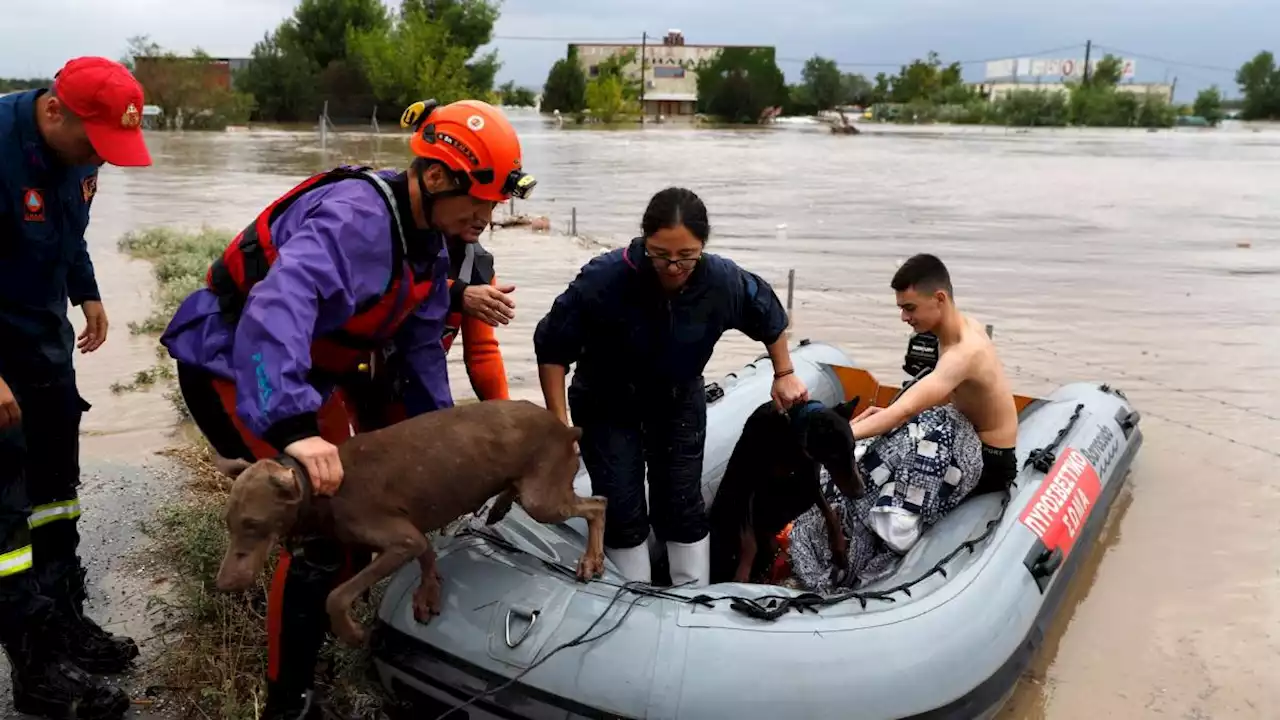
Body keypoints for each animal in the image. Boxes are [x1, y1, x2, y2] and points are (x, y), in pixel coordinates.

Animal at [211, 397, 609, 645]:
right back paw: (499, 507)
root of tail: (566, 428)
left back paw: (591, 559)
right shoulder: (411, 537)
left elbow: (335, 597)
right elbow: (427, 553)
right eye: (228, 523)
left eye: (252, 524)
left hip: (543, 499)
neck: (319, 488)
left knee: (598, 505)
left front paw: (352, 633)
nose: (224, 584)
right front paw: (429, 591)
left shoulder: (398, 540)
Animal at [706, 397, 865, 584]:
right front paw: (741, 577)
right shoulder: (747, 486)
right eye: (834, 457)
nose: (860, 493)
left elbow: (829, 513)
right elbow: (749, 541)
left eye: (853, 448)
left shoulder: (808, 478)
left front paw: (839, 549)